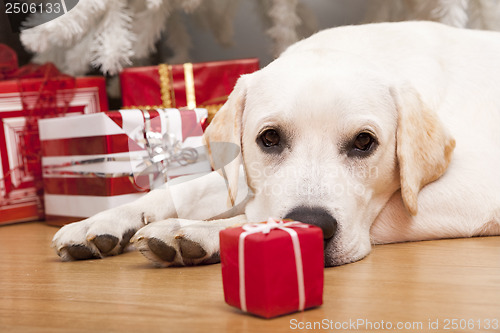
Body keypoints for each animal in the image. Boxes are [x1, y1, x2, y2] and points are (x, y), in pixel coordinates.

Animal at [50, 21, 500, 264]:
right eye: (269, 138)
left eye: (364, 142)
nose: (312, 225)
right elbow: (187, 190)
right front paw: (105, 220)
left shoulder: (476, 190)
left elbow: (248, 213)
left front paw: (196, 231)